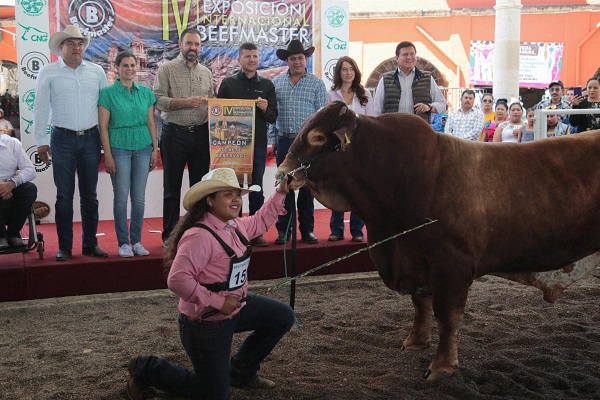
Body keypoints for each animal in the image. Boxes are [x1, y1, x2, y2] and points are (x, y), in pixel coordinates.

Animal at [276, 100, 600, 382]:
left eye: (318, 136)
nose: (282, 175)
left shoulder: (451, 265)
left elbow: (447, 316)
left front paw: (442, 366)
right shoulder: (413, 261)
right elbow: (420, 304)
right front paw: (415, 342)